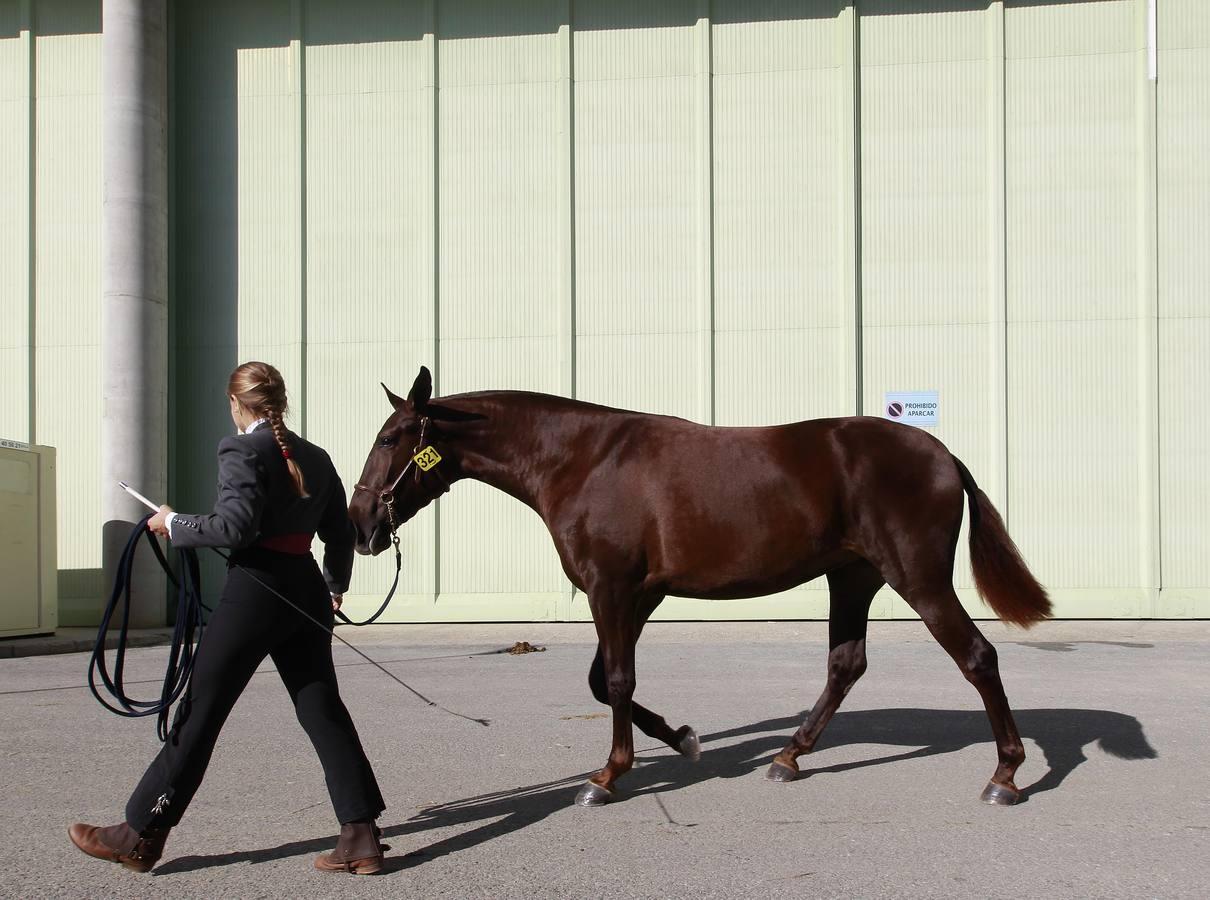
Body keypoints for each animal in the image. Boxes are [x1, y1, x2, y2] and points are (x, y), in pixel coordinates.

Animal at [348, 365, 1050, 808]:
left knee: (977, 657)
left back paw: (1006, 776)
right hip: (853, 578)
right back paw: (788, 757)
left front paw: (608, 775)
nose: (360, 526)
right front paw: (682, 739)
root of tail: (944, 455)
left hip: (916, 577)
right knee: (846, 664)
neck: (583, 459)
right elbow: (604, 682)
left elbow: (617, 682)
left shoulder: (611, 587)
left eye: (389, 437)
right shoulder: (640, 593)